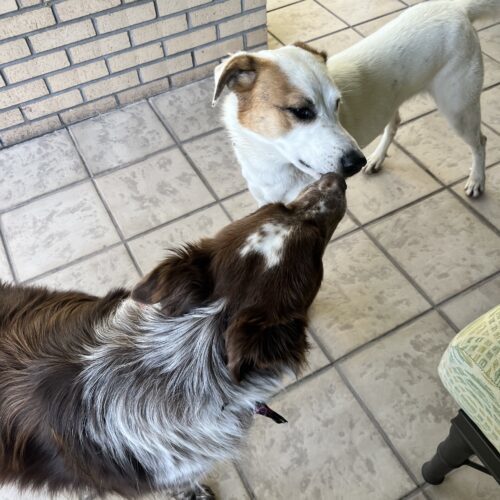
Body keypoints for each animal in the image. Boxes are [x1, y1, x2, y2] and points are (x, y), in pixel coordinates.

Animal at [214, 0, 500, 205]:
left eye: (337, 104)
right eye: (300, 111)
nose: (356, 162)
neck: (270, 158)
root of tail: (457, 8)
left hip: (458, 109)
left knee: (480, 141)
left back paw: (477, 180)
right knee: (394, 122)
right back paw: (377, 158)